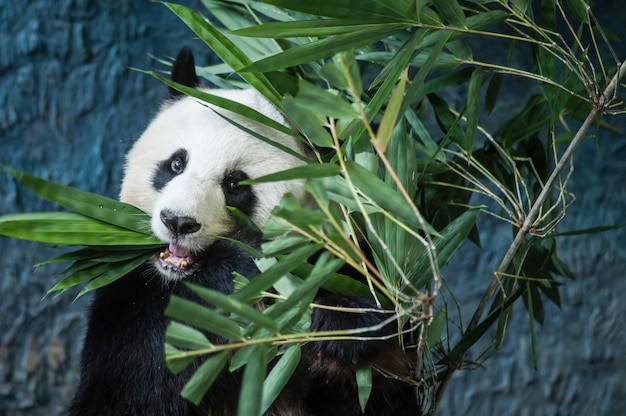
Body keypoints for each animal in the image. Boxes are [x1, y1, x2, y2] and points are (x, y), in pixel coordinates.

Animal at [68, 47, 416, 414]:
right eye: (176, 164)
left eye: (235, 184)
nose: (177, 221)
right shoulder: (128, 287)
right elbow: (132, 379)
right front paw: (239, 260)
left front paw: (345, 324)